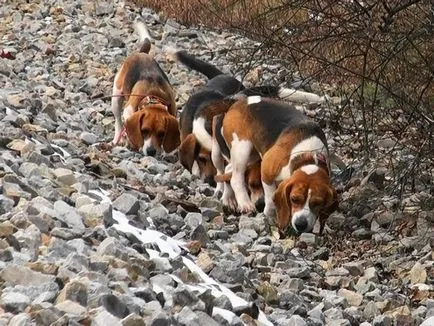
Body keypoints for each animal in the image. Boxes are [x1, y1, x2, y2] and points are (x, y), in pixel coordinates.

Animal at [112, 22, 181, 156]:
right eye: (144, 131)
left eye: (161, 134)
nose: (151, 151)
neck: (154, 96)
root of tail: (142, 53)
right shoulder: (129, 110)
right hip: (116, 96)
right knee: (118, 120)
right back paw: (118, 138)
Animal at [214, 95, 340, 234]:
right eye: (294, 199)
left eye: (318, 203)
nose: (301, 225)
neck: (308, 156)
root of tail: (238, 101)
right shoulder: (266, 171)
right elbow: (270, 200)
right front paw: (270, 216)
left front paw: (324, 226)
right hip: (242, 148)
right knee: (236, 178)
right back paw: (244, 203)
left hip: (252, 155)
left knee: (228, 169)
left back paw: (228, 198)